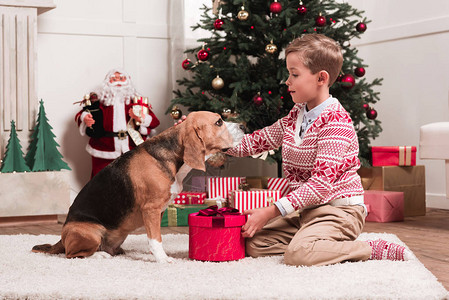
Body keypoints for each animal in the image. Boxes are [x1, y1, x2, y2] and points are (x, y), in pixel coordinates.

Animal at [32, 110, 243, 262]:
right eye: (218, 122)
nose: (243, 124)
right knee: (72, 254)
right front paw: (162, 259)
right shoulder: (151, 209)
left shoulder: (159, 211)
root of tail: (61, 238)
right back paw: (100, 254)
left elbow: (155, 236)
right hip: (91, 233)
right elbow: (155, 238)